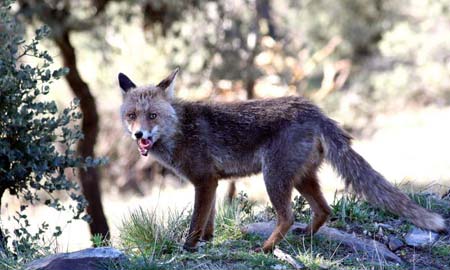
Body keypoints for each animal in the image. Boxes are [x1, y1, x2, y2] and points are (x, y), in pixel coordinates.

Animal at [118, 68, 446, 253]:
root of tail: (314, 109)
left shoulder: (204, 181)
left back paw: (266, 248)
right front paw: (208, 242)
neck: (180, 129)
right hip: (301, 178)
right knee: (324, 210)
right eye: (132, 115)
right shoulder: (211, 183)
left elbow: (195, 222)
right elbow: (207, 221)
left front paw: (186, 248)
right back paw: (306, 237)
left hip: (274, 178)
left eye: (153, 115)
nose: (139, 135)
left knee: (287, 217)